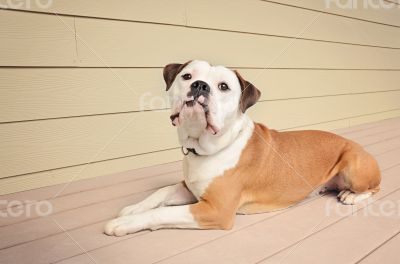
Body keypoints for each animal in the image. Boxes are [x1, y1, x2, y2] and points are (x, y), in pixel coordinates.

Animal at [104, 60, 382, 237]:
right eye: (187, 76)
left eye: (223, 86)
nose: (200, 85)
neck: (204, 148)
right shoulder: (188, 188)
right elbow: (161, 192)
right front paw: (133, 208)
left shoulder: (215, 210)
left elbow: (162, 214)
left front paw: (125, 223)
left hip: (353, 165)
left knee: (373, 189)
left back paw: (351, 195)